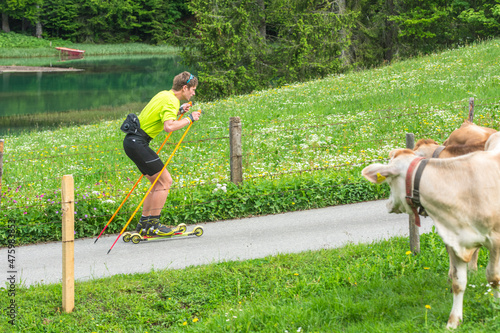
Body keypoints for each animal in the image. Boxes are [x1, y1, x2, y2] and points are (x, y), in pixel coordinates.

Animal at [362, 149, 500, 328]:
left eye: (390, 182)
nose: (388, 204)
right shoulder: (455, 241)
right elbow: (458, 283)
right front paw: (453, 322)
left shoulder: (496, 240)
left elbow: (493, 277)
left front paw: (497, 306)